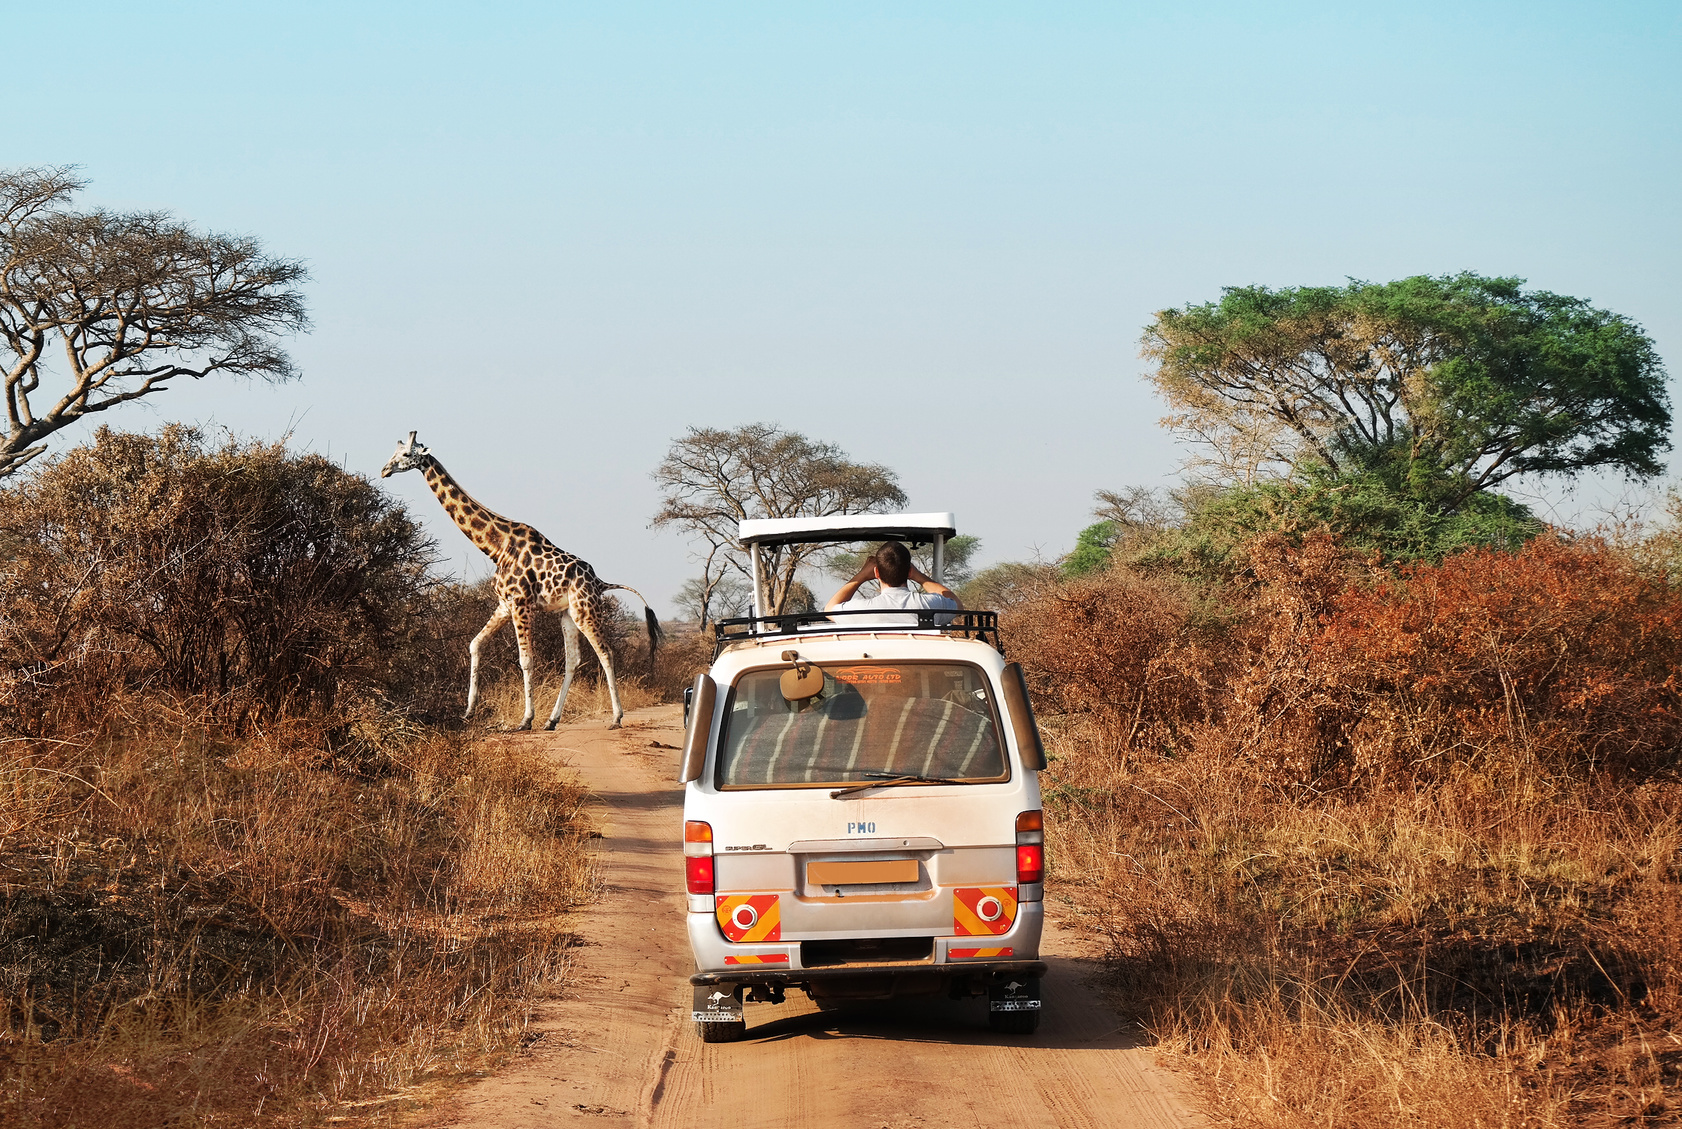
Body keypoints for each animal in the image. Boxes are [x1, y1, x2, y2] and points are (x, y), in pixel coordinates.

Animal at [383, 434, 662, 733]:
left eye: (405, 454)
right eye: (394, 452)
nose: (384, 470)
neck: (496, 545)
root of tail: (599, 582)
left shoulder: (521, 603)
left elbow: (526, 660)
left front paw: (525, 720)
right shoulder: (505, 604)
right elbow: (475, 644)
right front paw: (469, 711)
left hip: (585, 611)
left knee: (606, 653)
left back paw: (616, 718)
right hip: (568, 614)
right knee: (573, 660)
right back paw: (552, 720)